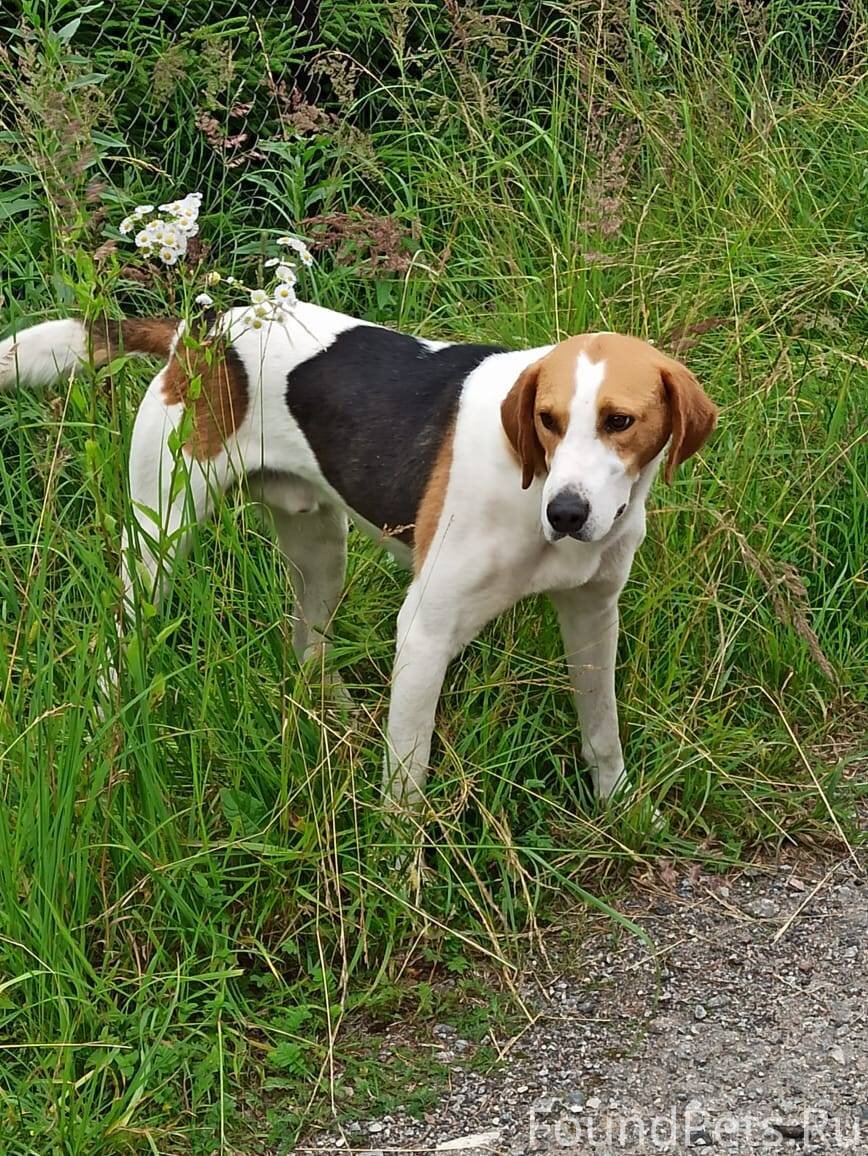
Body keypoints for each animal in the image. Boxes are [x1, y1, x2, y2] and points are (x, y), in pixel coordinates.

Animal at [0, 307, 716, 813]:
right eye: (547, 419)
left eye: (620, 421)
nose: (566, 513)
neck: (530, 479)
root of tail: (201, 333)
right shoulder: (426, 632)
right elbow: (407, 779)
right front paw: (406, 879)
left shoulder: (593, 614)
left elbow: (602, 731)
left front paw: (621, 809)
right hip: (157, 547)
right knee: (117, 647)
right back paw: (101, 737)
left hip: (322, 546)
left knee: (306, 647)